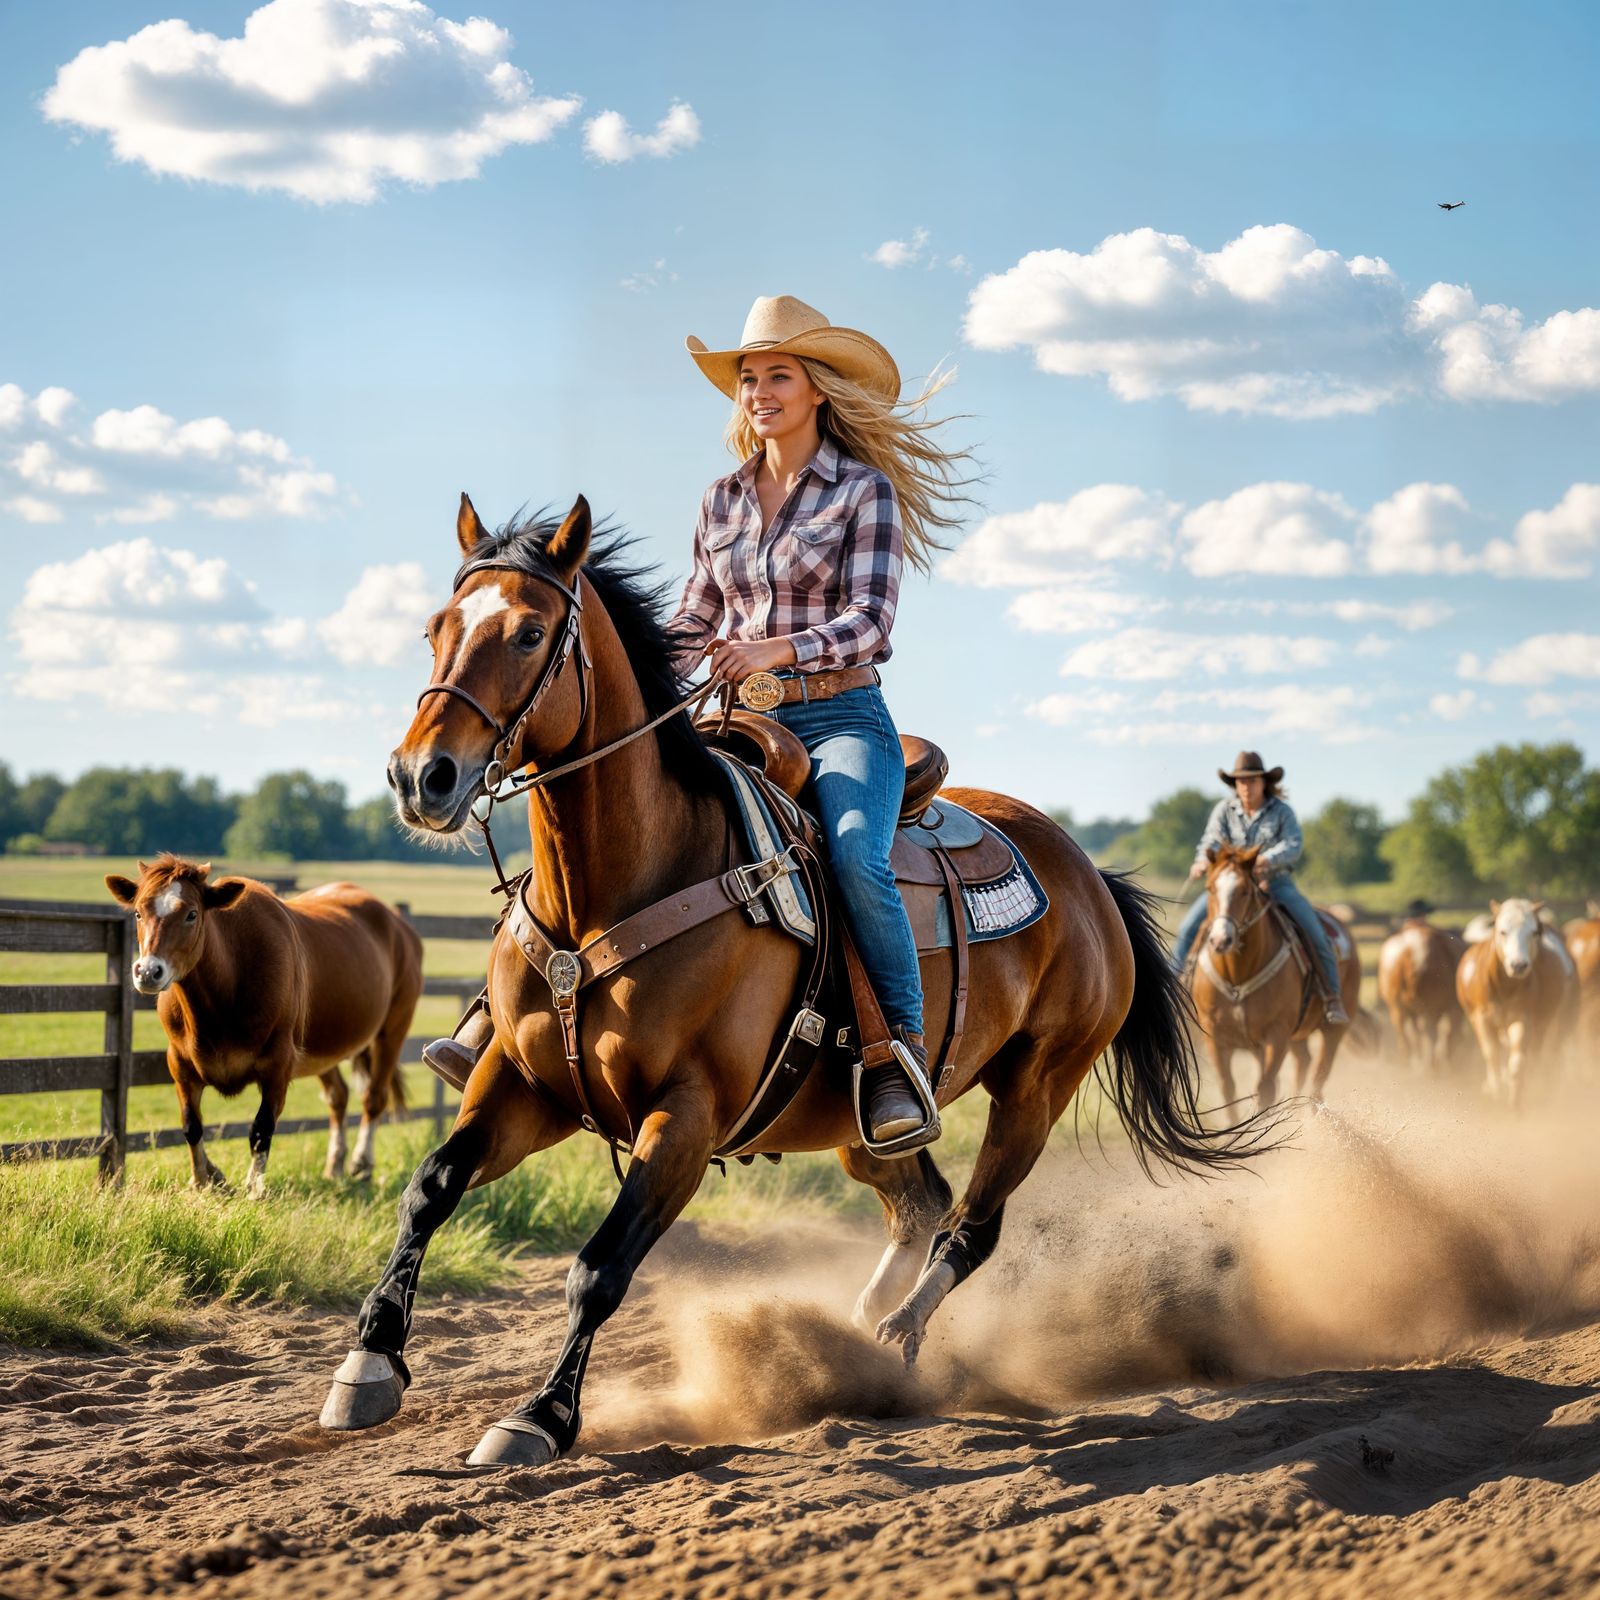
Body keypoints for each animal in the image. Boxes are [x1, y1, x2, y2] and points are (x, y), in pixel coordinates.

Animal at [105, 856, 423, 1196]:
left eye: (191, 914)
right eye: (138, 912)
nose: (148, 971)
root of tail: (397, 923)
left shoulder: (278, 1063)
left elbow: (261, 1127)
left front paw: (254, 1187)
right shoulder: (179, 1061)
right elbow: (191, 1125)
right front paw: (204, 1178)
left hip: (394, 1025)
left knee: (374, 1097)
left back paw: (361, 1163)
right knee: (338, 1096)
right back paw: (335, 1164)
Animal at [316, 495, 1266, 1468]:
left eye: (530, 631)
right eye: (436, 628)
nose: (420, 777)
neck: (625, 883)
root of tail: (1087, 877)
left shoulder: (685, 1118)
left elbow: (600, 1268)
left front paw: (540, 1416)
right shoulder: (526, 1085)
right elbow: (429, 1187)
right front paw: (368, 1368)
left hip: (1038, 1087)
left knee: (971, 1226)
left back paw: (898, 1339)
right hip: (864, 1122)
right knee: (918, 1198)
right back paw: (865, 1320)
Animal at [1187, 844, 1362, 1111]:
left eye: (1245, 890)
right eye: (1210, 888)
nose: (1220, 940)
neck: (1238, 975)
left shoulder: (1277, 1034)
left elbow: (1266, 1088)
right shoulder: (1216, 1037)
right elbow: (1228, 1090)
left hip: (1335, 1027)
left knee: (1320, 1074)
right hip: (1294, 1036)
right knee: (1304, 1061)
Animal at [1457, 899, 1578, 1108]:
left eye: (1534, 932)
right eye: (1502, 931)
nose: (1518, 965)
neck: (1504, 986)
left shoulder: (1523, 1018)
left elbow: (1518, 1061)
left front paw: (1515, 1102)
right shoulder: (1481, 1019)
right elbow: (1492, 1054)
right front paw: (1494, 1090)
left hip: (1549, 1023)